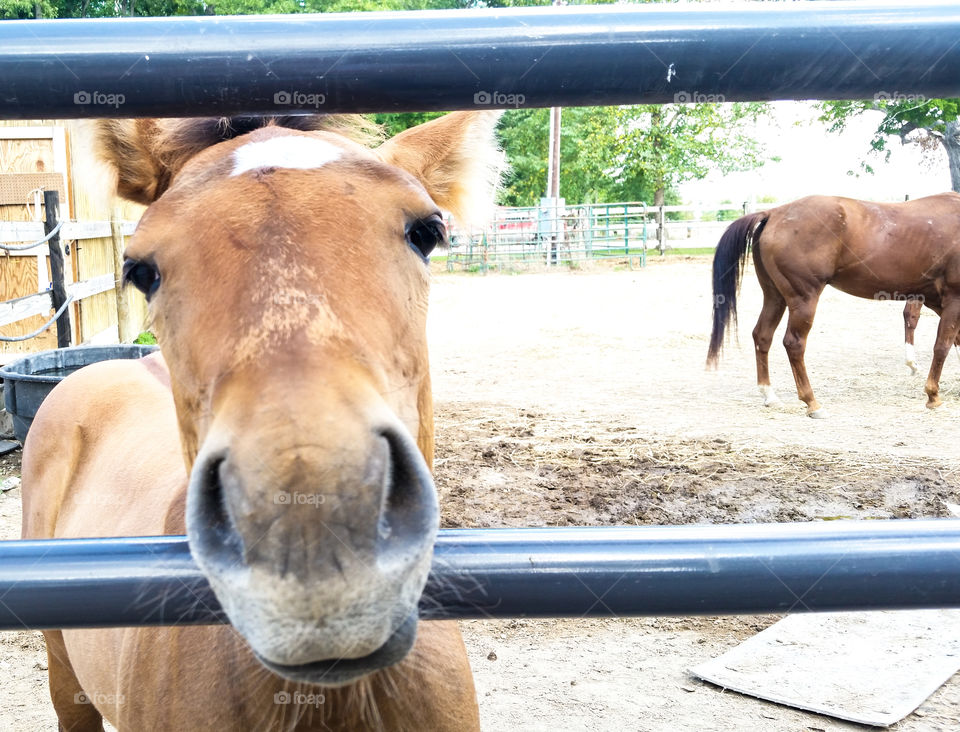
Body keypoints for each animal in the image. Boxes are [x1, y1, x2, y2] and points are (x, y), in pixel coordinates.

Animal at [704, 192, 960, 418]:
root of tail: (774, 213)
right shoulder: (952, 300)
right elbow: (942, 346)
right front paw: (933, 395)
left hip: (774, 297)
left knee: (762, 336)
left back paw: (770, 395)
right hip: (803, 299)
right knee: (794, 343)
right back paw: (811, 402)